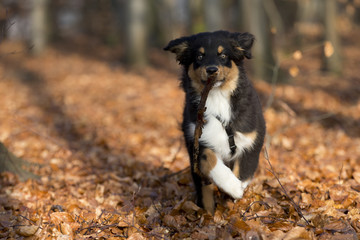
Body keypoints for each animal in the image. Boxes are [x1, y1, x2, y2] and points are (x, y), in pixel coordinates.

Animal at [165, 30, 266, 214]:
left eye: (223, 55)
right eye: (199, 56)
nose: (211, 69)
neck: (217, 97)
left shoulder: (252, 141)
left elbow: (244, 172)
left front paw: (235, 192)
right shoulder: (195, 139)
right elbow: (208, 159)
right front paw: (231, 185)